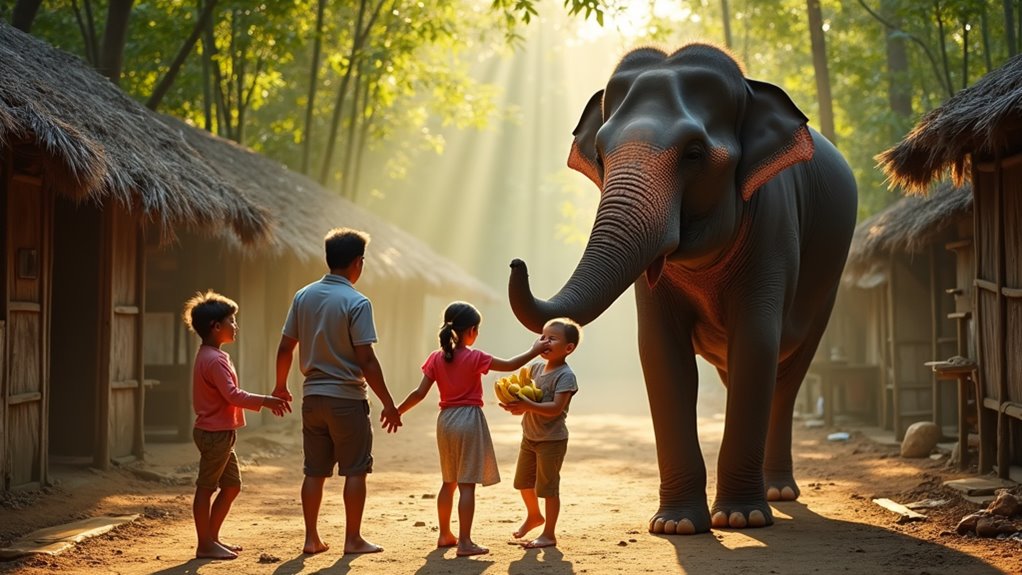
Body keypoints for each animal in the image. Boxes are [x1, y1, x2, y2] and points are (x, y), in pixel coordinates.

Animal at [507, 43, 857, 535]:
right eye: (601, 153)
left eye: (693, 154)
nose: (516, 261)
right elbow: (659, 352)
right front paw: (676, 525)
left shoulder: (773, 223)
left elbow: (756, 342)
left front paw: (741, 518)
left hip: (829, 277)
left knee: (788, 374)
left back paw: (778, 494)